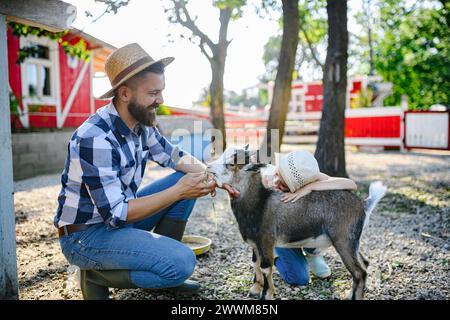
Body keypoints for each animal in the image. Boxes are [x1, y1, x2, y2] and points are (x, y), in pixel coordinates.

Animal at [207, 146, 386, 302]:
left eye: (231, 164)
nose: (208, 166)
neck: (260, 203)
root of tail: (364, 204)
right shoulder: (255, 243)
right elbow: (255, 263)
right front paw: (255, 289)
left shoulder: (266, 241)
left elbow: (265, 267)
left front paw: (266, 295)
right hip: (353, 242)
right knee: (364, 263)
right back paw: (349, 294)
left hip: (343, 241)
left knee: (359, 272)